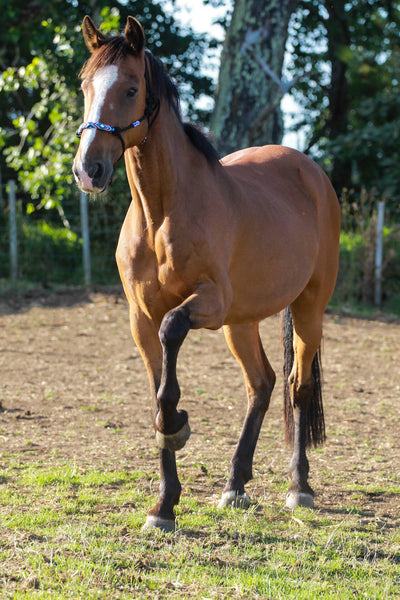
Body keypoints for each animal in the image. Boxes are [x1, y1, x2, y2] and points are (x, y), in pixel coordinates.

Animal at [72, 15, 340, 528]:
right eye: (85, 86)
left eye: (131, 88)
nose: (88, 169)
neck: (161, 215)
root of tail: (311, 172)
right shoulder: (140, 319)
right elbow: (157, 390)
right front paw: (164, 504)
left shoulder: (208, 304)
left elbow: (172, 338)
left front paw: (177, 428)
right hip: (243, 321)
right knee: (262, 384)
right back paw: (235, 484)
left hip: (307, 307)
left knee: (297, 386)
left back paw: (299, 488)